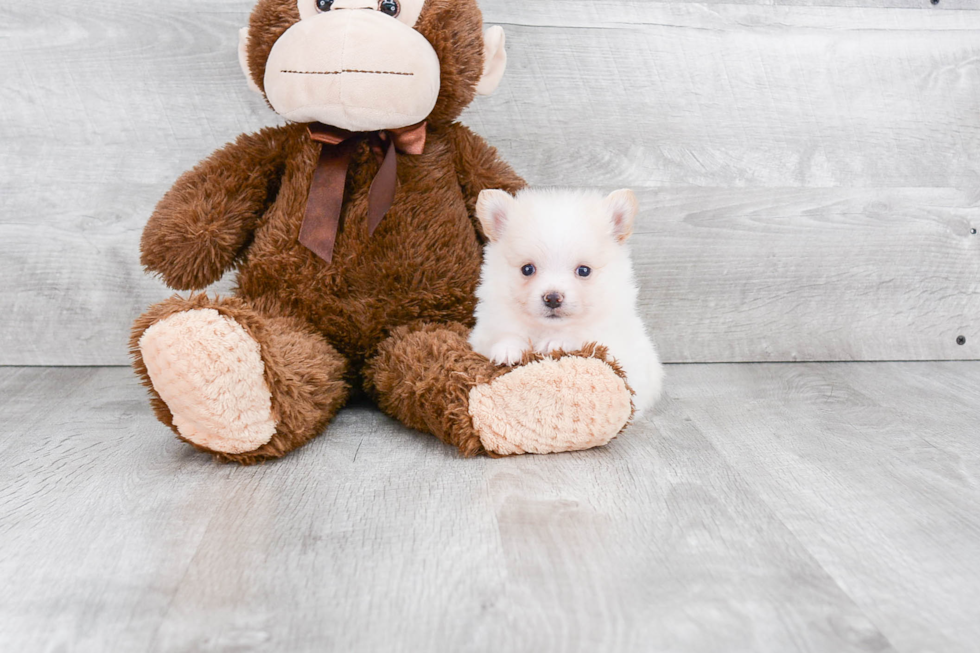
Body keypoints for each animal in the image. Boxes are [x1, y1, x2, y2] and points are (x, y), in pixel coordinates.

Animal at [468, 187, 668, 418]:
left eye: (584, 271)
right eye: (527, 269)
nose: (553, 298)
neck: (547, 328)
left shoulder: (617, 349)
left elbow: (581, 336)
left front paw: (557, 342)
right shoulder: (483, 334)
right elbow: (507, 334)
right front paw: (508, 349)